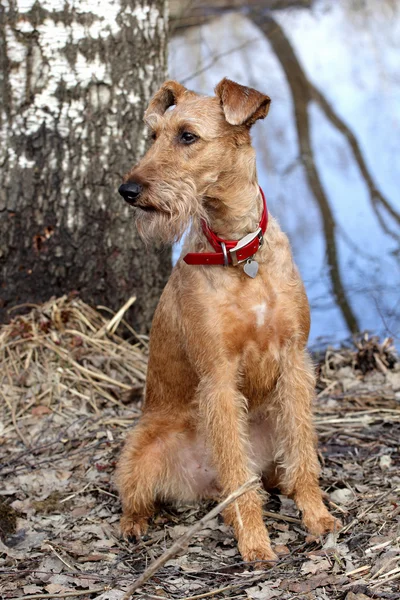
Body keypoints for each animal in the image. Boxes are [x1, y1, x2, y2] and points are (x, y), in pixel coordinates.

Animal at [115, 78, 338, 564]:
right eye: (153, 135)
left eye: (187, 136)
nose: (128, 190)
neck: (238, 251)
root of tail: (199, 485)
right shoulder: (218, 377)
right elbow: (239, 475)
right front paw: (255, 542)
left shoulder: (295, 361)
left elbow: (303, 452)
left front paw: (317, 517)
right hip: (141, 450)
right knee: (141, 497)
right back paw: (135, 526)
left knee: (276, 472)